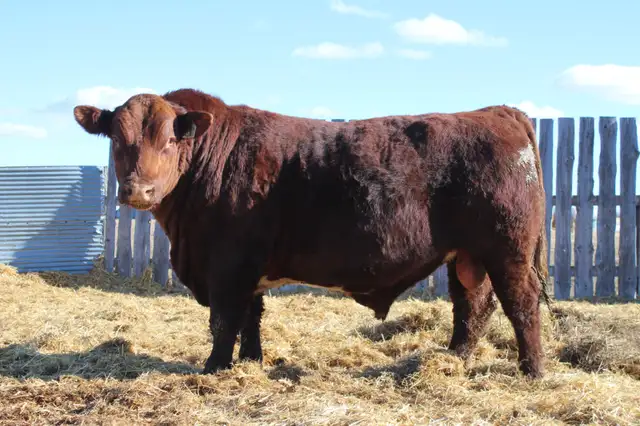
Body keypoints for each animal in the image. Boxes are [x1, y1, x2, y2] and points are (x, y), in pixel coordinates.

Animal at [73, 88, 550, 378]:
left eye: (170, 141)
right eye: (117, 139)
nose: (137, 190)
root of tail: (499, 113)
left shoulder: (227, 265)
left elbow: (224, 320)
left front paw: (214, 368)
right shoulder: (249, 269)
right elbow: (252, 317)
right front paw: (251, 361)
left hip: (508, 250)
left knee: (520, 304)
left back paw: (532, 370)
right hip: (468, 255)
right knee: (472, 305)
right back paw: (454, 359)